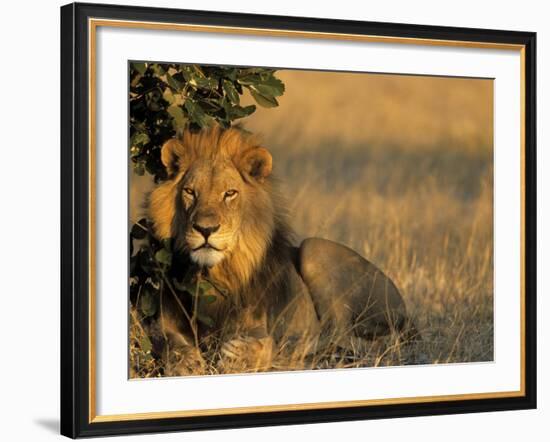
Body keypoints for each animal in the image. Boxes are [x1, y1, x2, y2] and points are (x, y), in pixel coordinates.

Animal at [147, 125, 418, 376]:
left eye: (230, 193)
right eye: (190, 192)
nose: (205, 229)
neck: (213, 273)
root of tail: (405, 310)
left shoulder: (255, 323)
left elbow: (262, 344)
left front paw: (240, 354)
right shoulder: (165, 319)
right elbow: (168, 341)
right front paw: (186, 363)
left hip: (315, 249)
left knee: (340, 340)